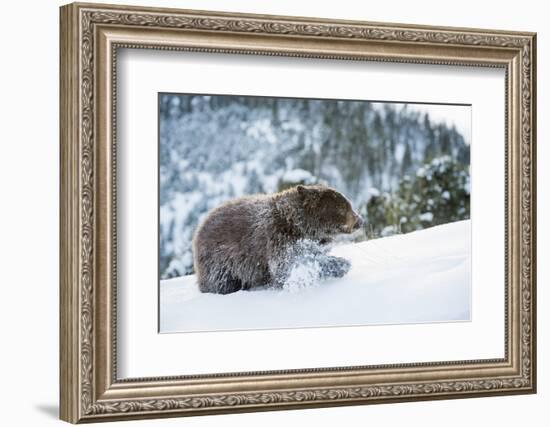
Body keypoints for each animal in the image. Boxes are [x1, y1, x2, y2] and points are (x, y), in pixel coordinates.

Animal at [192, 184, 364, 294]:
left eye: (348, 205)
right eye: (343, 208)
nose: (360, 220)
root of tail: (199, 228)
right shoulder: (279, 237)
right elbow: (286, 267)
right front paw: (341, 263)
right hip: (220, 261)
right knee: (221, 282)